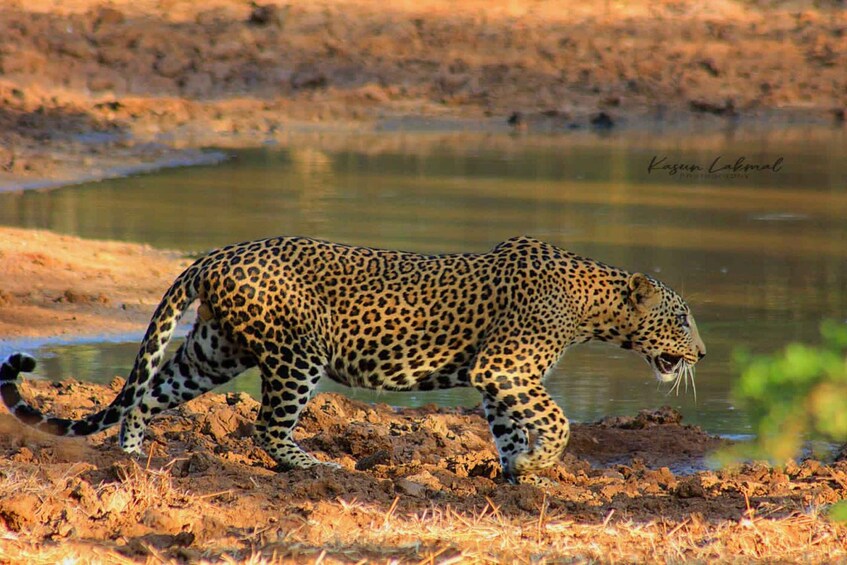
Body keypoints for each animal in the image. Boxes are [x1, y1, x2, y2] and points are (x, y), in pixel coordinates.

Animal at [1, 236, 705, 484]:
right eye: (682, 318)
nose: (701, 351)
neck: (596, 304)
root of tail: (219, 253)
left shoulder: (498, 379)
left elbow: (510, 427)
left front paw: (517, 475)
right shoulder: (505, 367)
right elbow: (554, 420)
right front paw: (539, 463)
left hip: (213, 351)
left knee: (147, 391)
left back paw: (131, 455)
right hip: (297, 354)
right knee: (266, 426)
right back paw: (313, 463)